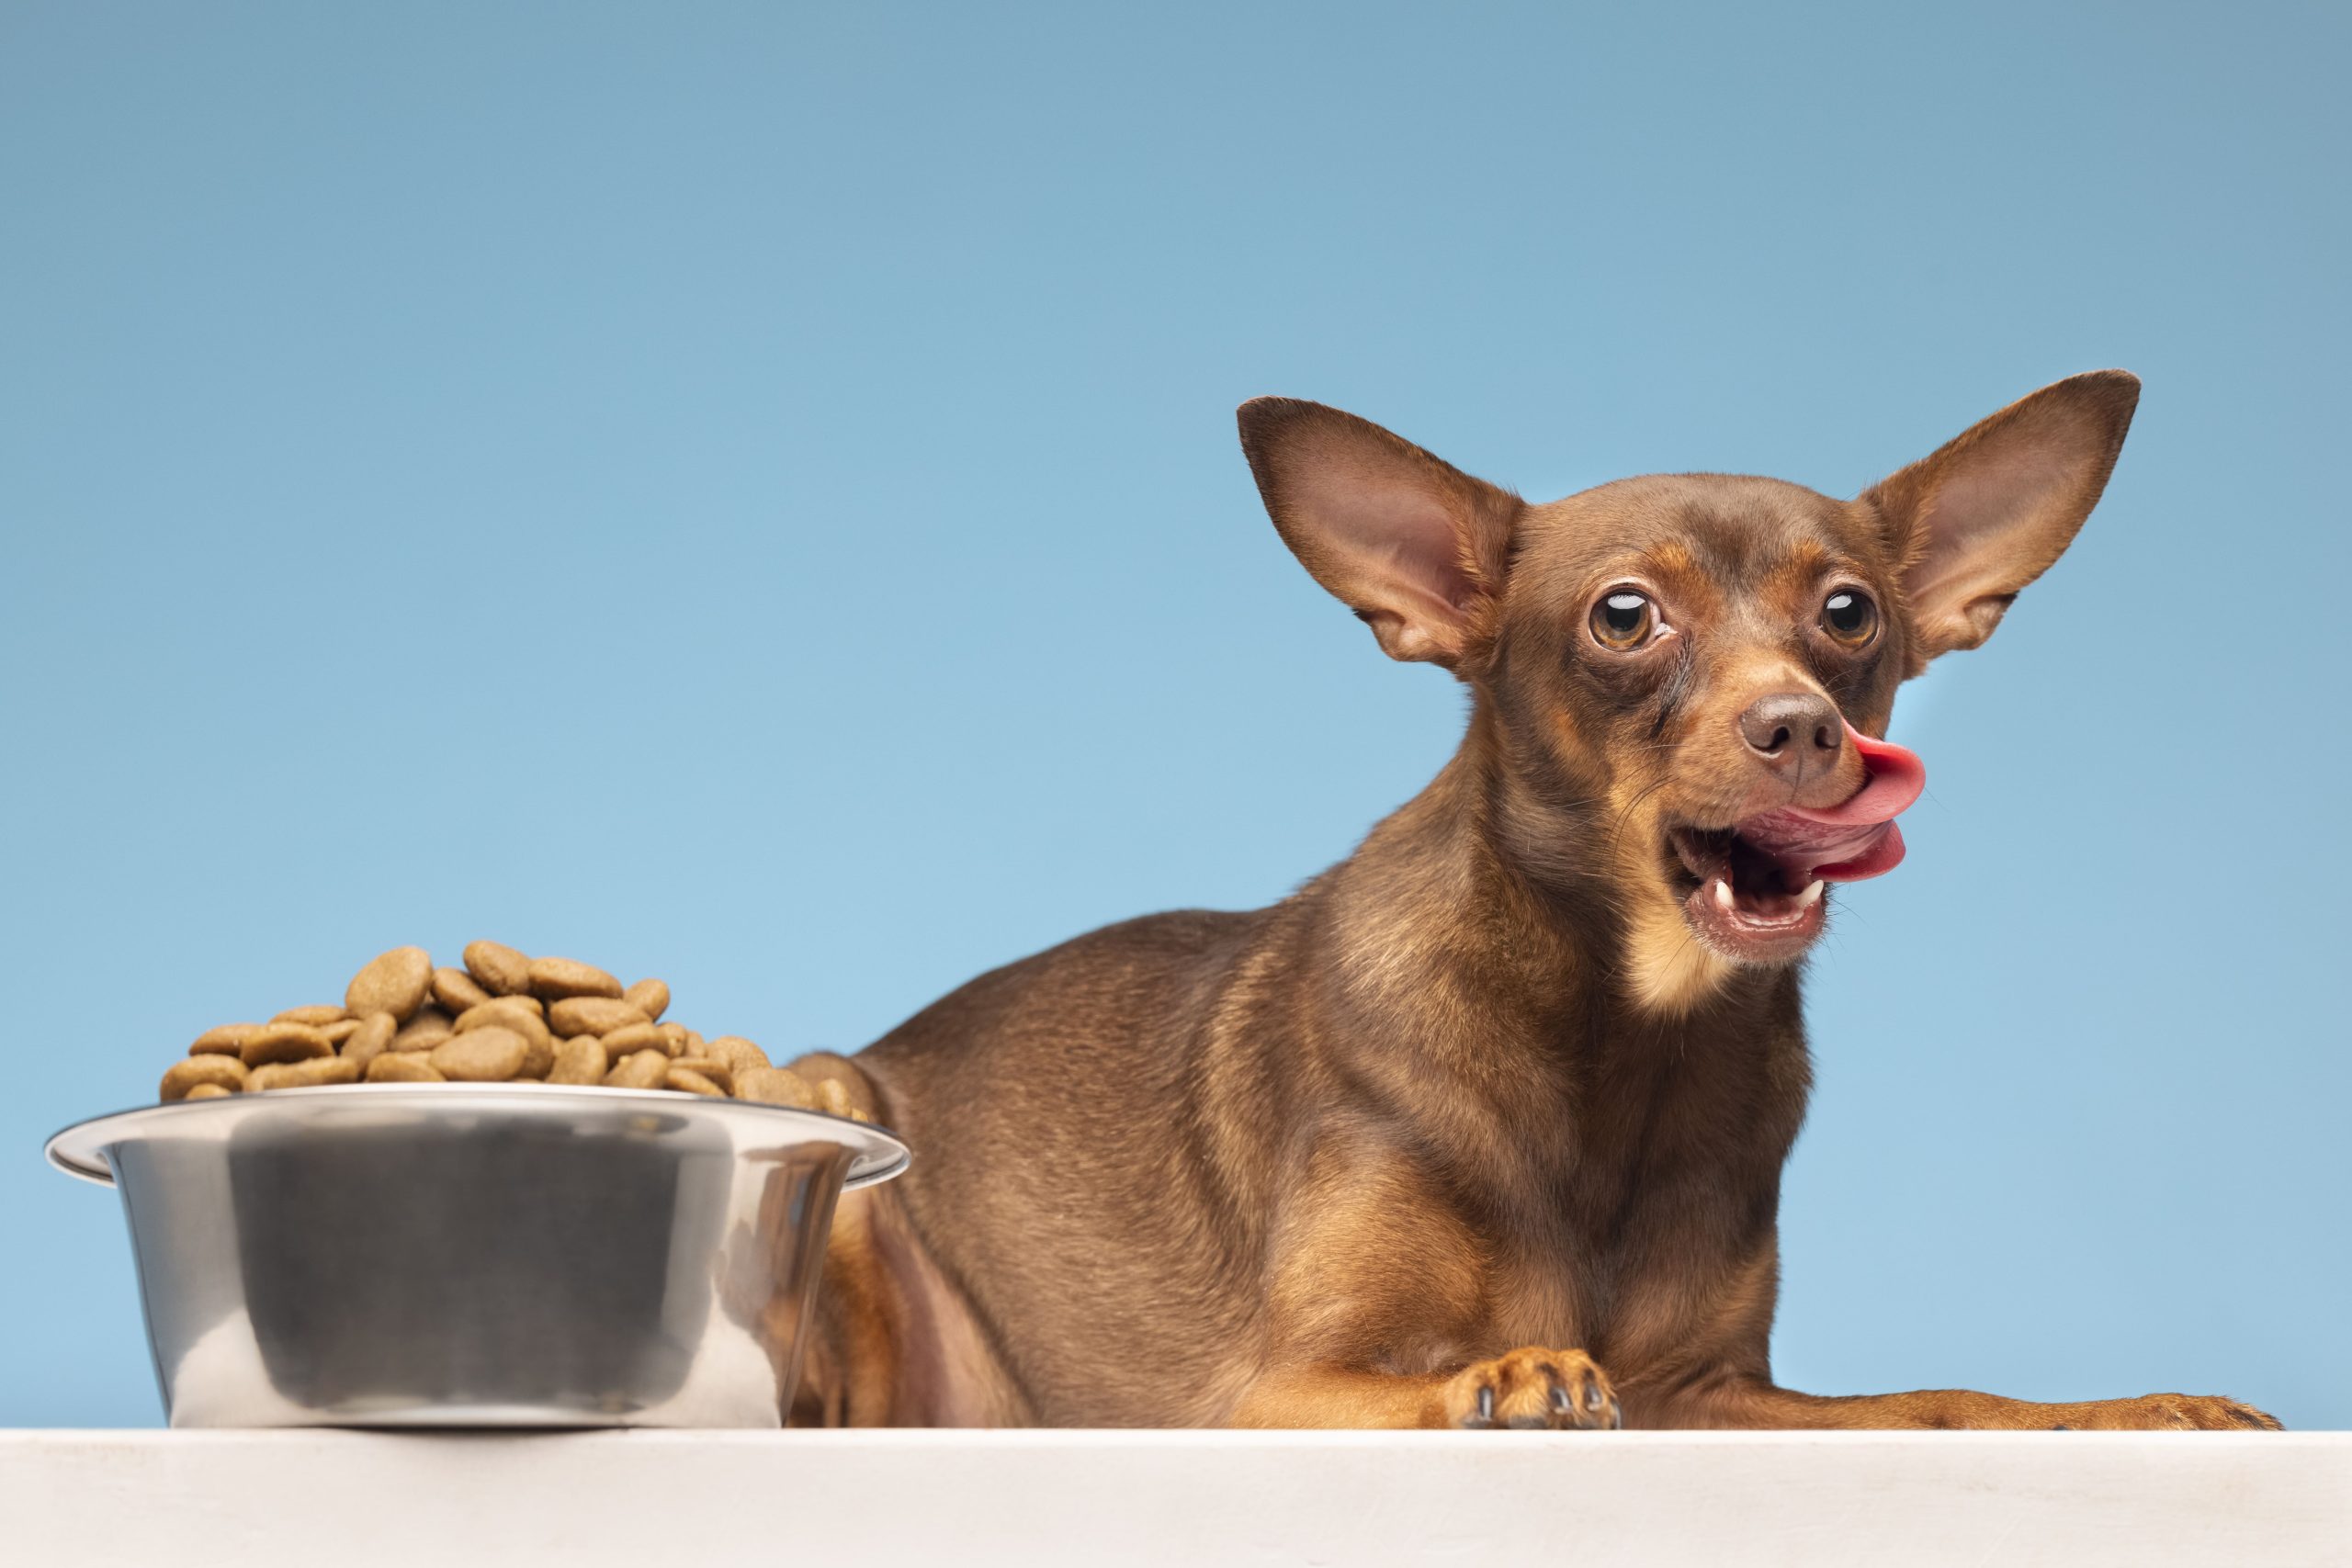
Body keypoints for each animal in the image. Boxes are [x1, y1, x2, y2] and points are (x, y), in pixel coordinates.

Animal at [780, 373, 2286, 1429]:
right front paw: (1506, 1375)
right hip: (831, 1108)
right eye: (1625, 617)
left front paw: (2140, 1407)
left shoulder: (1703, 1393)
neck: (1626, 1039)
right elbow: (1450, 1371)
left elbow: (1939, 1399)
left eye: (1850, 612)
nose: (1805, 728)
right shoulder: (1284, 1387)